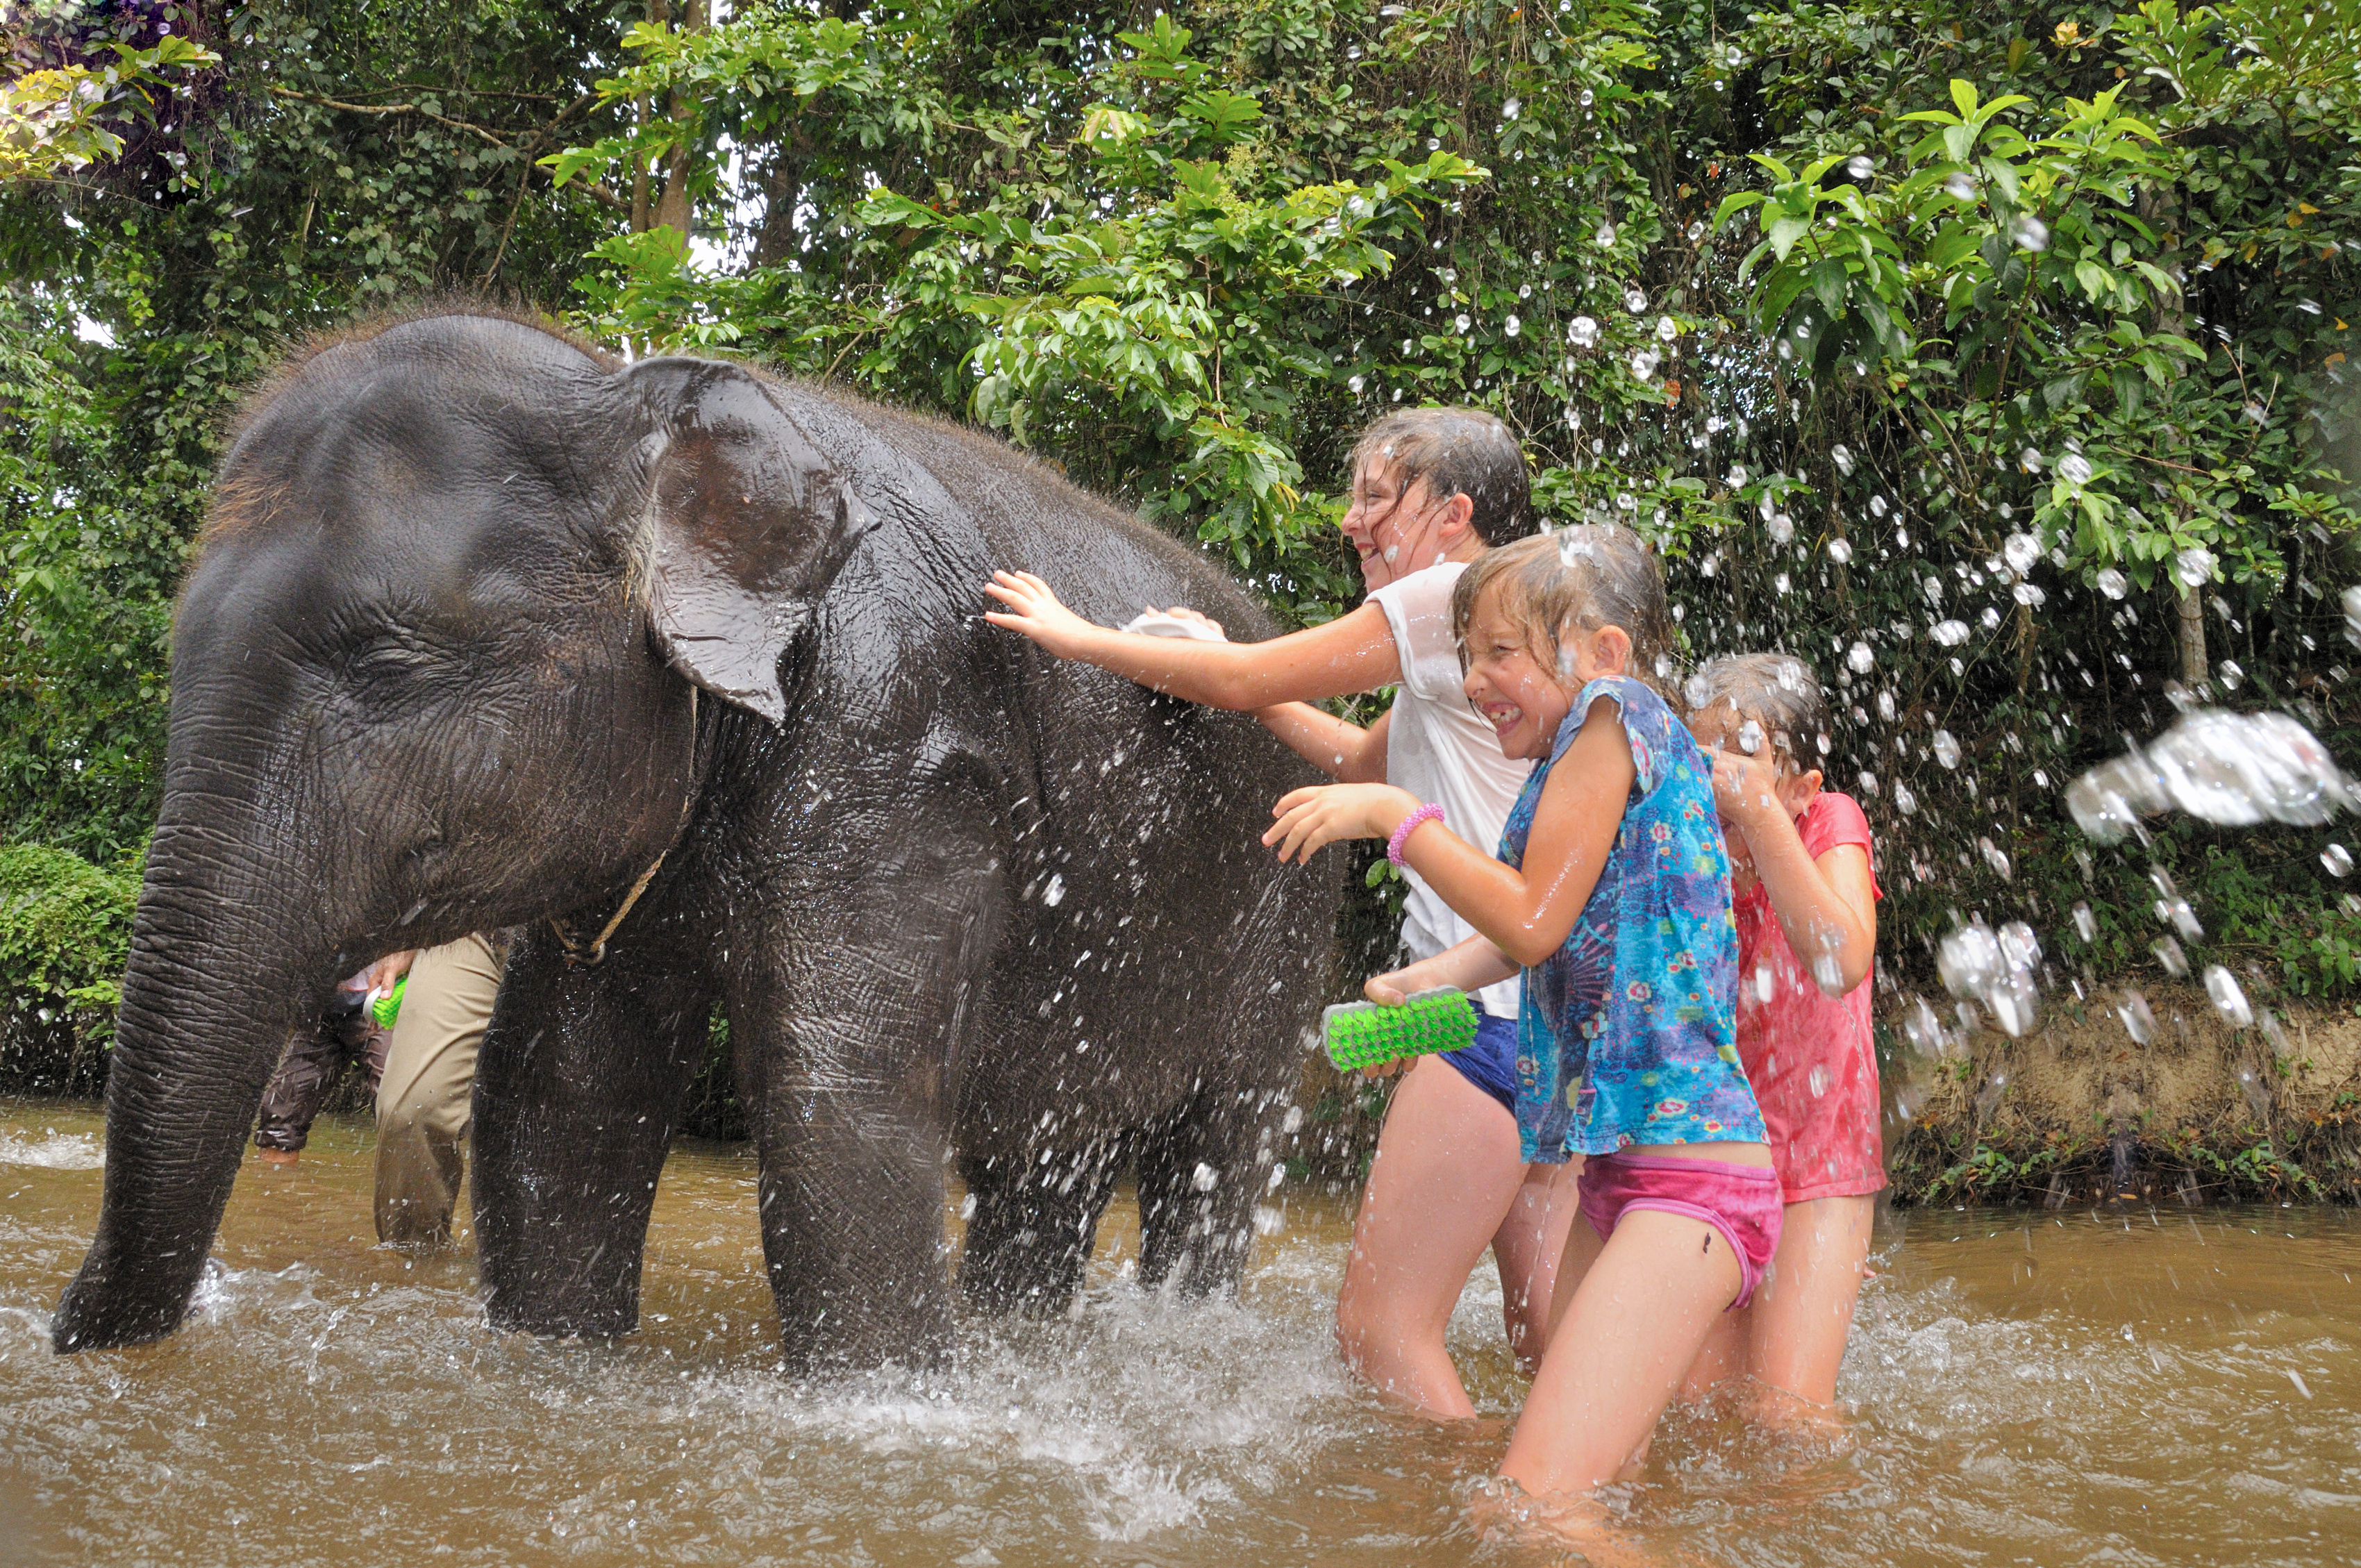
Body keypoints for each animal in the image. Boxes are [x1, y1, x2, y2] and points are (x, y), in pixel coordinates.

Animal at [51, 306, 1341, 1364]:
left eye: (389, 663)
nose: (63, 1325)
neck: (636, 395)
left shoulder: (903, 745)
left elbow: (837, 1106)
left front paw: (887, 1397)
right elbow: (562, 1088)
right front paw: (559, 1356)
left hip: (1291, 916)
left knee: (1218, 1144)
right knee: (1047, 1146)